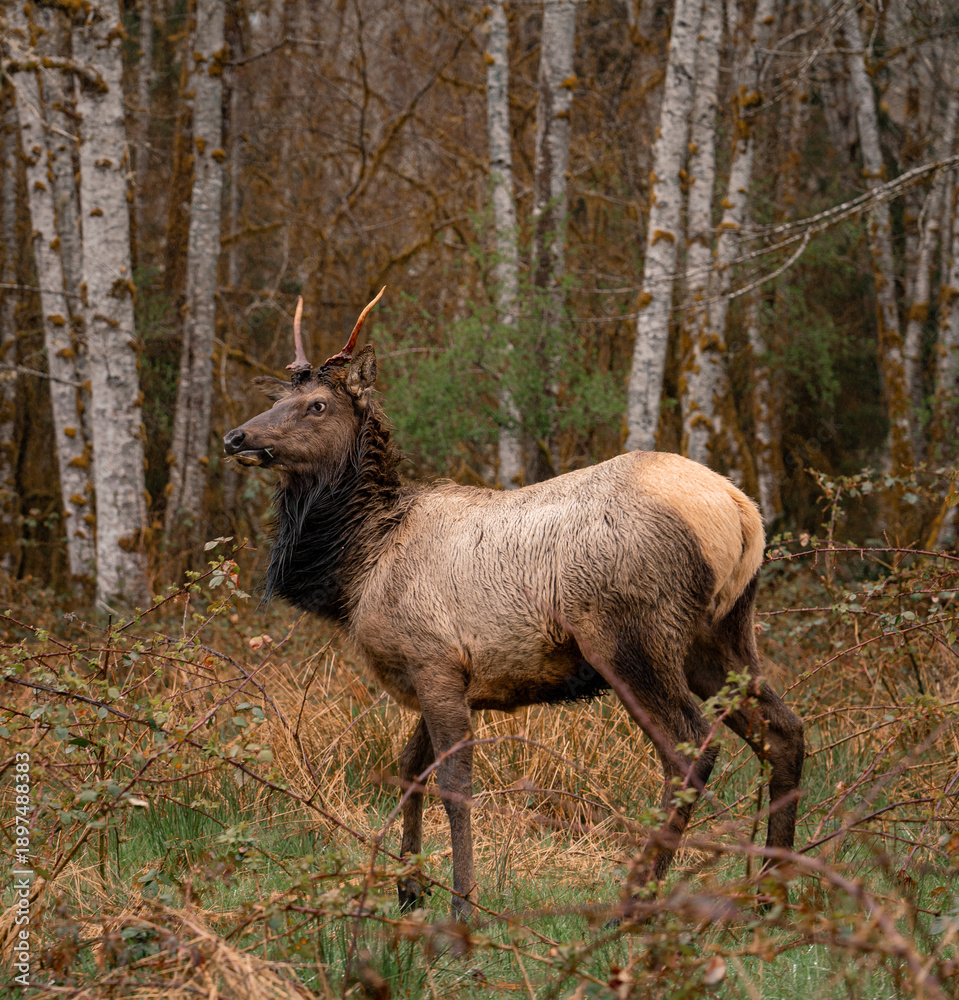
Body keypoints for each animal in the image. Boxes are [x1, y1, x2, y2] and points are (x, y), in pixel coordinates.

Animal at [223, 290, 805, 921]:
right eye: (277, 399)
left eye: (318, 405)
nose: (236, 437)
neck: (358, 568)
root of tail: (741, 512)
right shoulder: (449, 674)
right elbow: (409, 770)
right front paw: (409, 887)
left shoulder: (433, 661)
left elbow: (454, 785)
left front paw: (461, 904)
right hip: (720, 635)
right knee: (784, 730)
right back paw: (769, 890)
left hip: (629, 638)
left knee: (691, 747)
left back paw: (636, 898)